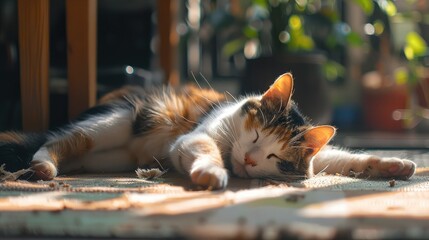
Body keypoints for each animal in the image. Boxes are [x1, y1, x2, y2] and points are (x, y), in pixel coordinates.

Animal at [0, 73, 414, 189]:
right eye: (257, 136)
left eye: (277, 157)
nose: (249, 160)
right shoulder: (194, 137)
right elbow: (205, 149)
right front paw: (213, 172)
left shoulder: (319, 160)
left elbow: (341, 158)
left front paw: (395, 165)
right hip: (118, 121)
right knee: (57, 140)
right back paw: (42, 167)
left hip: (107, 157)